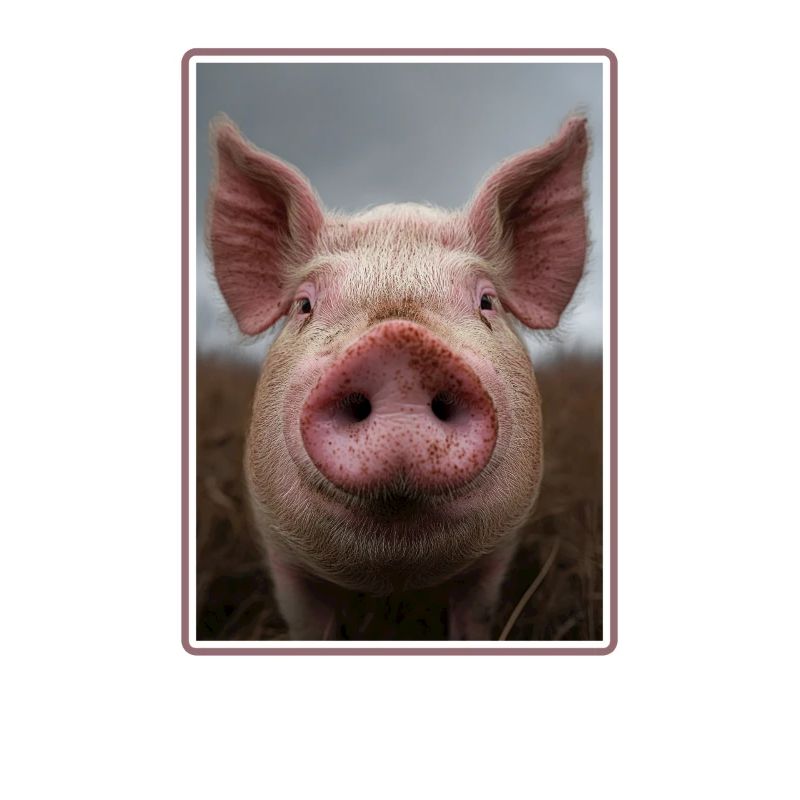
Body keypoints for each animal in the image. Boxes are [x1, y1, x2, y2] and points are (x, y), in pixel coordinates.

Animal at [206, 114, 589, 640]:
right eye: (304, 305)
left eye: (487, 301)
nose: (399, 344)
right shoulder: (281, 553)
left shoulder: (496, 555)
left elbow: (474, 618)